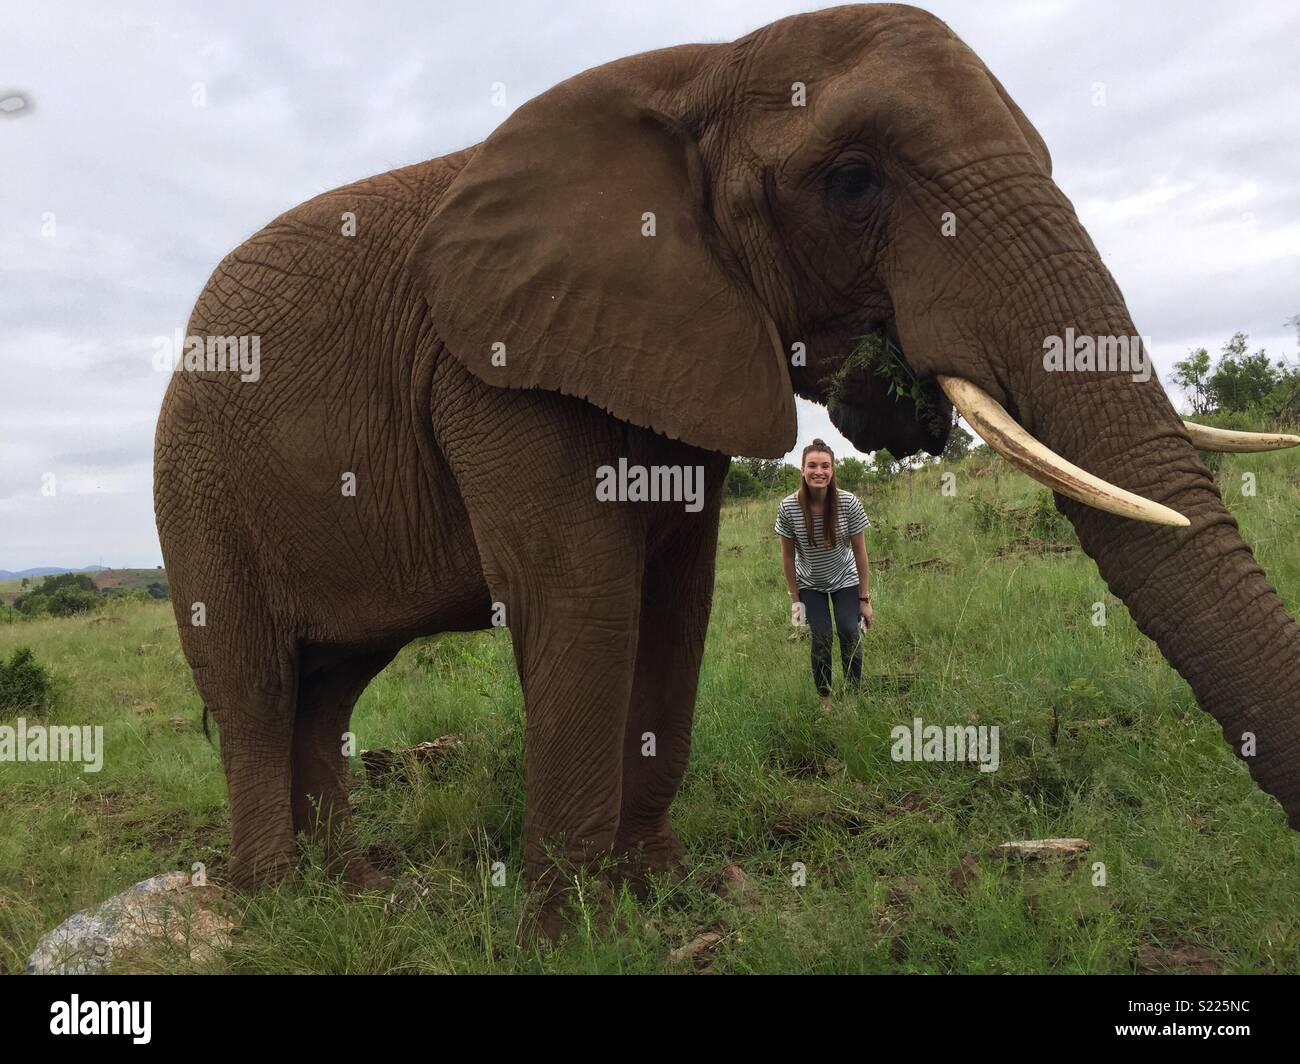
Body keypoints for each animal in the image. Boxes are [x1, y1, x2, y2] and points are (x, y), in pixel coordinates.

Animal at [154, 3, 1300, 936]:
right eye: (851, 181)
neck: (696, 69)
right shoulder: (495, 376)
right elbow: (584, 599)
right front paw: (567, 938)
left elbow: (678, 601)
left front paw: (665, 892)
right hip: (193, 490)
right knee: (258, 686)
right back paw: (277, 913)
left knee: (327, 688)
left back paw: (344, 898)